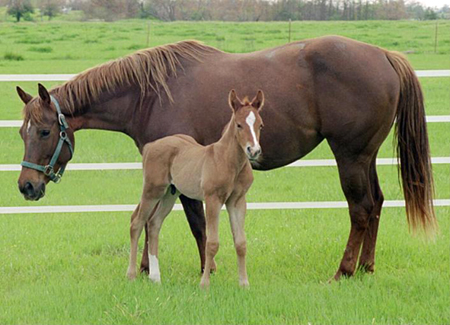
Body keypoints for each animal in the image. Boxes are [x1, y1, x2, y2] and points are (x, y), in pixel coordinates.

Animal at [125, 89, 264, 286]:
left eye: (260, 125)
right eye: (239, 125)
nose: (254, 151)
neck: (227, 160)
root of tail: (150, 146)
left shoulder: (237, 201)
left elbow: (241, 243)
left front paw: (244, 284)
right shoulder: (213, 199)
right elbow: (212, 243)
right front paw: (204, 284)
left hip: (169, 194)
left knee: (154, 223)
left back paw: (156, 277)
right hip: (152, 190)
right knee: (137, 222)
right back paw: (131, 275)